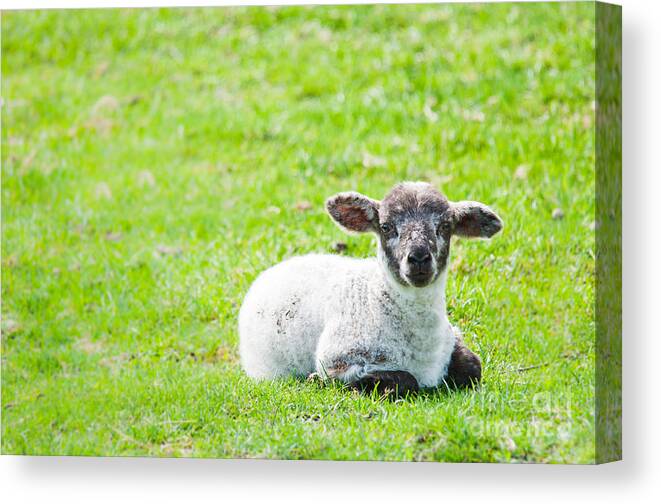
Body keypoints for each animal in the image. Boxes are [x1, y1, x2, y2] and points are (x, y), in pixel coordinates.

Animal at [240, 181, 502, 398]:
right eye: (386, 227)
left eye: (445, 226)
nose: (418, 258)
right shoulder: (337, 360)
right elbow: (406, 381)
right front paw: (317, 380)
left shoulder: (452, 340)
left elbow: (473, 367)